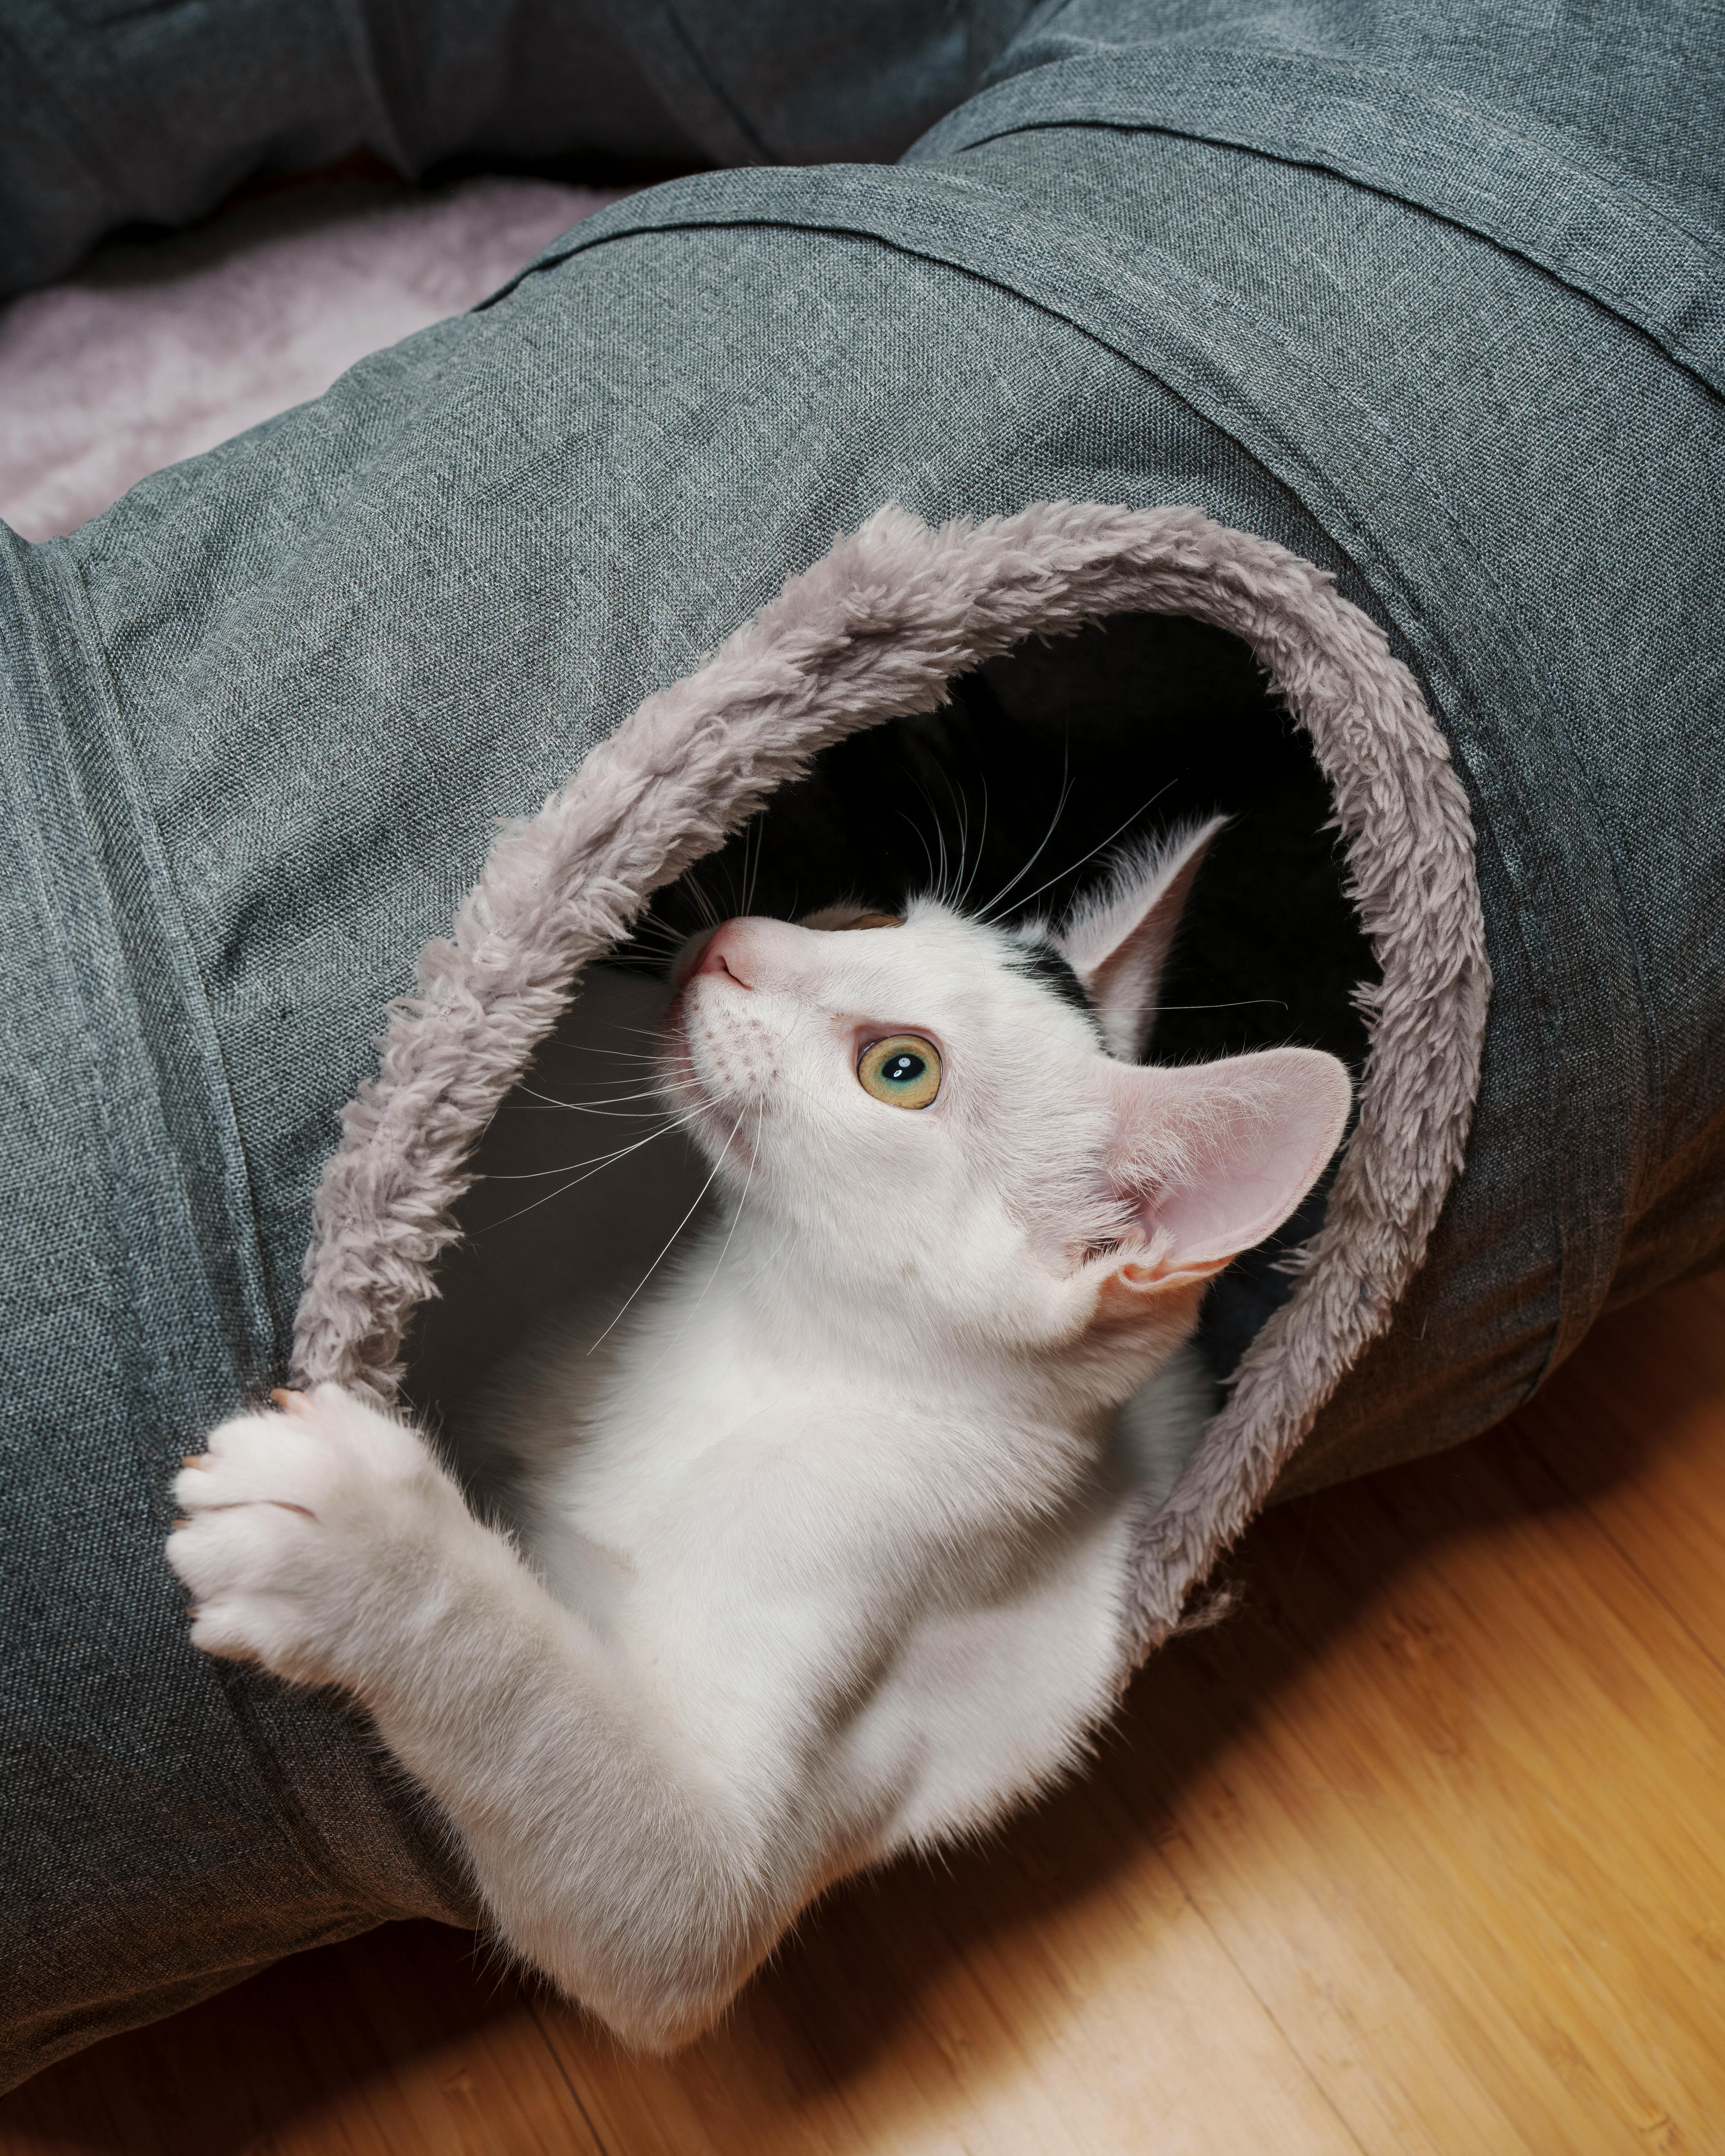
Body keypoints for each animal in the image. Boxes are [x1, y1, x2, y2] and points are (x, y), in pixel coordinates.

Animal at [179, 832, 1363, 2044]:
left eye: (901, 1069)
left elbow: (640, 1857)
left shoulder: (786, 1792)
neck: (757, 1345)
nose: (737, 942)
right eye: (866, 917)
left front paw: (358, 1544)